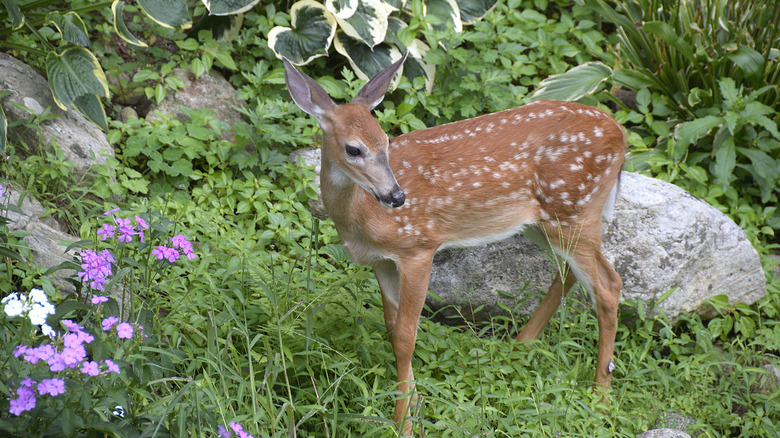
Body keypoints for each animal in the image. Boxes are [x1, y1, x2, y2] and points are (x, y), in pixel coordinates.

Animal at [283, 53, 625, 435]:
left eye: (386, 141)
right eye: (353, 149)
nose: (397, 196)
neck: (362, 218)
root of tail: (621, 135)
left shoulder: (418, 247)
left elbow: (406, 336)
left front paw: (402, 423)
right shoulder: (382, 261)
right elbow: (392, 327)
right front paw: (415, 404)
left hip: (574, 208)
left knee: (608, 284)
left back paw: (601, 396)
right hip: (545, 221)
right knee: (571, 273)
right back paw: (520, 345)